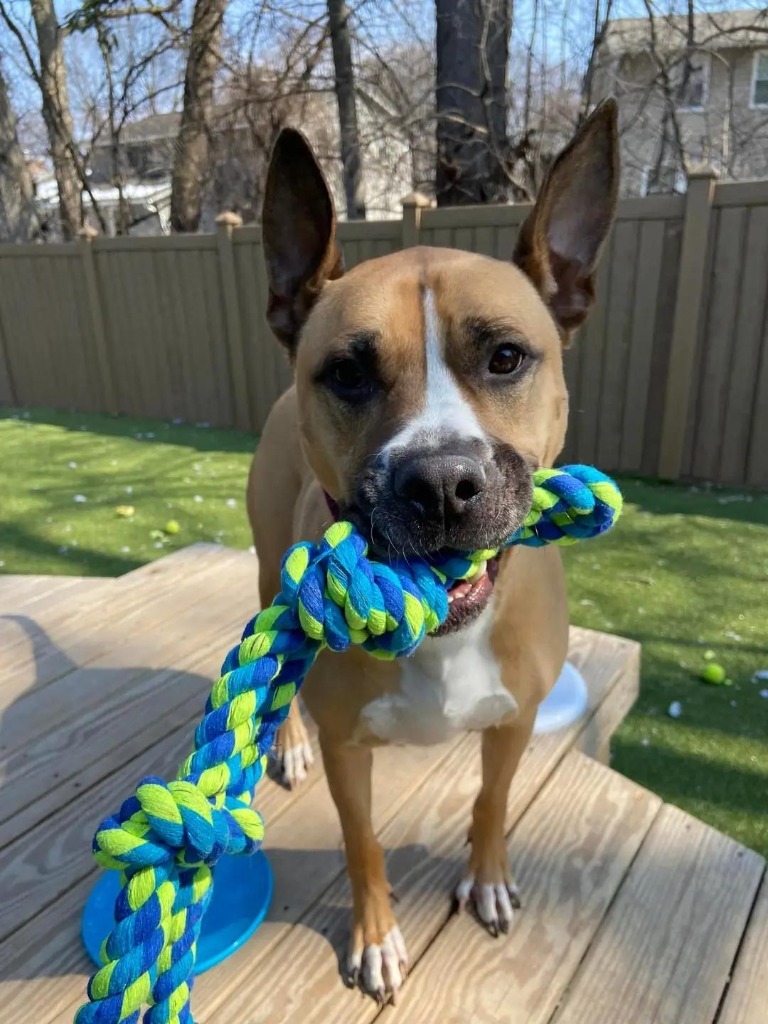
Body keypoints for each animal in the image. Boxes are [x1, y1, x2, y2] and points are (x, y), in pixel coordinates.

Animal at [249, 101, 622, 999]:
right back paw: (286, 739)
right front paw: (378, 936)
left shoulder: (515, 721)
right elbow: (361, 843)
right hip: (266, 568)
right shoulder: (350, 751)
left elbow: (491, 803)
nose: (444, 482)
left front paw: (486, 879)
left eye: (506, 357)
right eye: (348, 373)